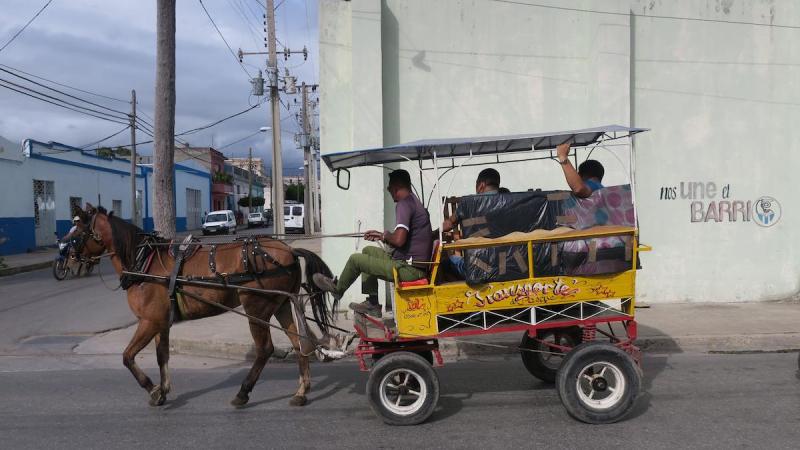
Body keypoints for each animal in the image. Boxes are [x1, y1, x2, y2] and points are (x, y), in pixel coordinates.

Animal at [86, 204, 336, 408]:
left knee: (266, 349)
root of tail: (290, 251)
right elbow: (161, 355)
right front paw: (163, 390)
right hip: (282, 304)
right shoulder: (161, 322)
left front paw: (153, 389)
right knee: (300, 343)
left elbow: (127, 356)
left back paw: (243, 393)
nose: (75, 257)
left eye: (80, 225)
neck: (144, 262)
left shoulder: (149, 321)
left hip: (257, 307)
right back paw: (301, 392)